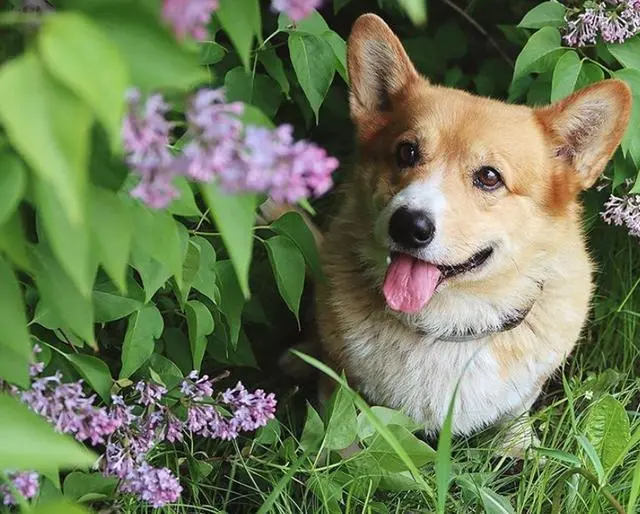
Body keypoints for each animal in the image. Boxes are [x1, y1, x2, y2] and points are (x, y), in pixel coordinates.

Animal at [264, 14, 632, 454]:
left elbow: (515, 415)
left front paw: (518, 447)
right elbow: (343, 432)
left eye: (489, 176)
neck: (451, 327)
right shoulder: (341, 382)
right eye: (406, 152)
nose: (409, 225)